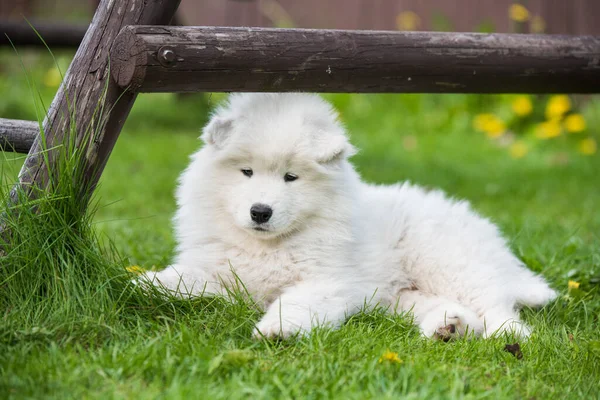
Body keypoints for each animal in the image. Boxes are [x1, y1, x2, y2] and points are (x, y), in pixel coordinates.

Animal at [146, 92, 556, 340]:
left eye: (290, 177)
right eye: (246, 172)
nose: (260, 211)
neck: (268, 246)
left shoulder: (327, 281)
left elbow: (295, 303)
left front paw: (276, 330)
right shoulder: (219, 271)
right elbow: (184, 279)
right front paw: (145, 282)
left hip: (446, 261)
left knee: (495, 305)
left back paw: (507, 336)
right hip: (402, 296)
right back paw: (448, 327)